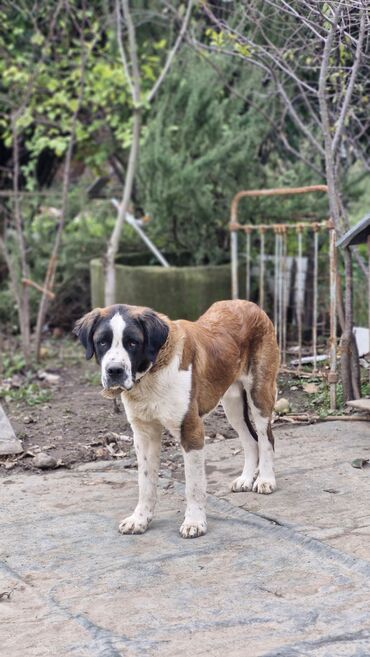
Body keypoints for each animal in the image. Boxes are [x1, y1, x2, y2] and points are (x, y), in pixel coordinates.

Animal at [73, 300, 278, 536]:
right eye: (102, 342)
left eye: (132, 343)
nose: (114, 370)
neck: (151, 372)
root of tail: (250, 304)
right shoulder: (144, 435)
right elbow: (145, 482)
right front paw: (140, 519)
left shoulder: (191, 430)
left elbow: (194, 485)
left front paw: (195, 522)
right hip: (232, 404)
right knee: (249, 440)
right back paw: (245, 479)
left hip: (259, 394)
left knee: (266, 438)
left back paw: (265, 479)